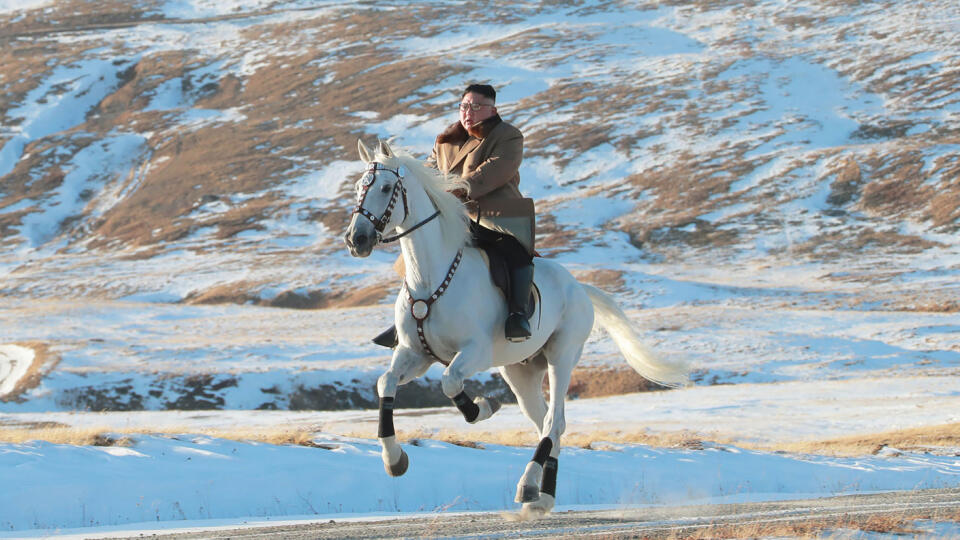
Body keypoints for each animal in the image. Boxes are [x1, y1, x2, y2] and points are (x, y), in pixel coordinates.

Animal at [342, 139, 688, 516]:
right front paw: (394, 459)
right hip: (520, 372)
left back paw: (527, 486)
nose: (357, 239)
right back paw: (543, 496)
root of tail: (579, 287)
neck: (431, 277)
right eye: (359, 187)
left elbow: (450, 382)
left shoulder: (474, 352)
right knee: (547, 424)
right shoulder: (414, 354)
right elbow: (385, 382)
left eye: (386, 188)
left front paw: (483, 407)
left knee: (553, 422)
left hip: (561, 356)